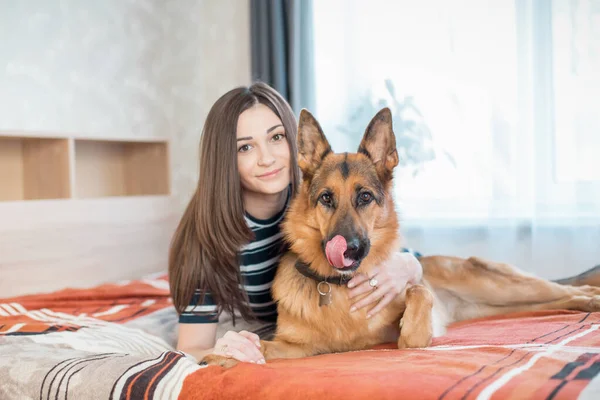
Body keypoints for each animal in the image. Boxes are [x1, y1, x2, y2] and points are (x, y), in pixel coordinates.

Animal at [202, 108, 600, 368]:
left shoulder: (410, 317)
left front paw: (410, 322)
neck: (339, 288)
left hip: (507, 288)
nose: (349, 249)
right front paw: (219, 354)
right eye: (326, 199)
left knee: (566, 289)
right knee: (559, 298)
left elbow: (417, 295)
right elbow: (258, 345)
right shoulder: (295, 347)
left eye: (365, 197)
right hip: (503, 304)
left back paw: (591, 298)